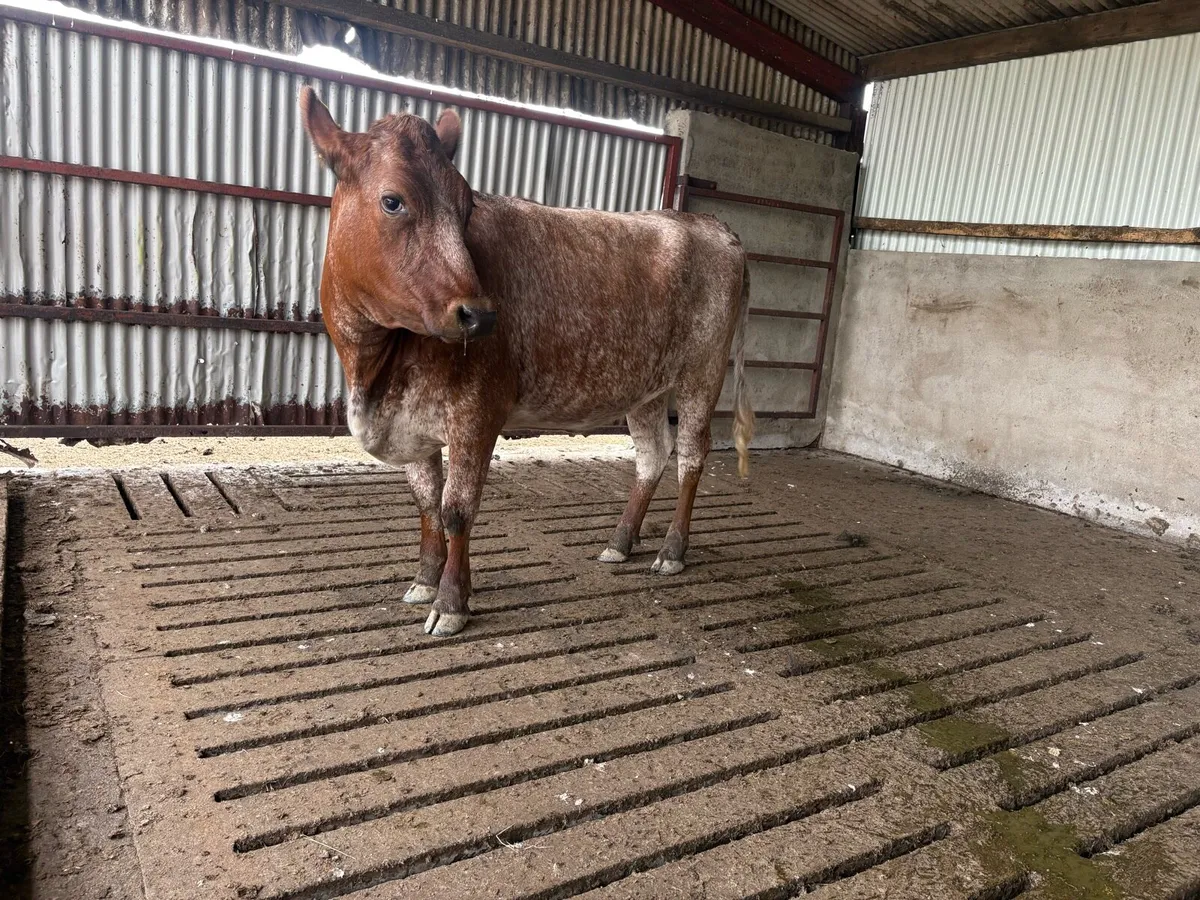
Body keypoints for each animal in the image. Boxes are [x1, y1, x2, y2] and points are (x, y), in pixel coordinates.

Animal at [299, 86, 754, 637]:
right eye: (393, 201)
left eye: (467, 206)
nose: (478, 314)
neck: (373, 371)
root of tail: (710, 224)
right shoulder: (412, 421)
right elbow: (426, 501)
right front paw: (424, 581)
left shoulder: (477, 412)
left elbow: (456, 509)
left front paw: (451, 603)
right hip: (644, 386)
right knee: (652, 455)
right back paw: (619, 543)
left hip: (702, 372)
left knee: (690, 453)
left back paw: (671, 550)